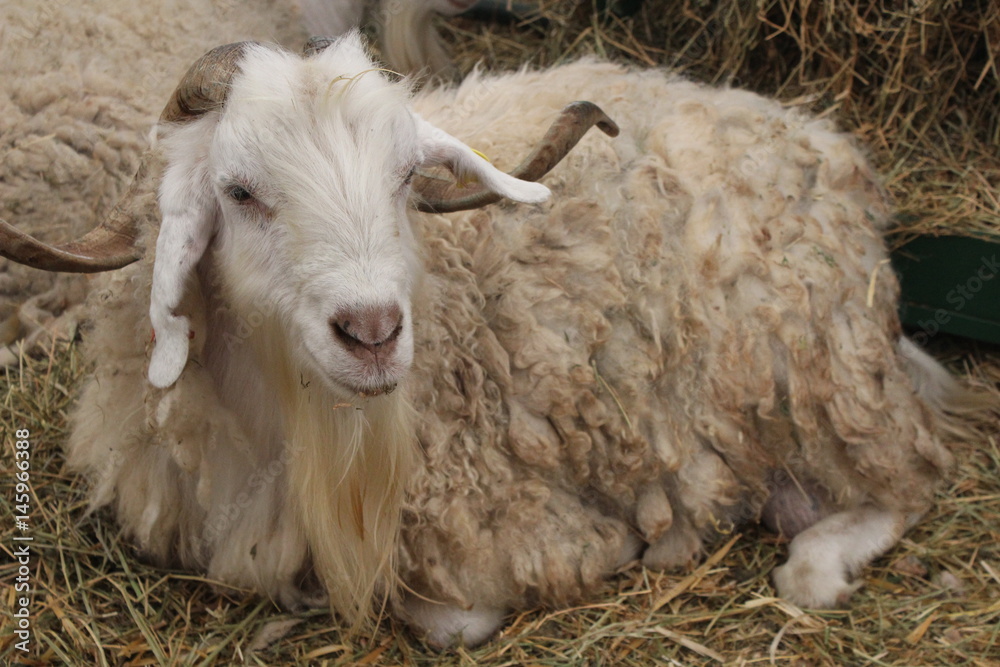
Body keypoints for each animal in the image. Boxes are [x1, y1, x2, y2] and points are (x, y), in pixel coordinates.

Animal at [0, 32, 978, 649]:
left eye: (406, 179)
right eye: (238, 192)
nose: (373, 332)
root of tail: (819, 136)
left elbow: (449, 619)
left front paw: (622, 548)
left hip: (819, 371)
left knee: (911, 480)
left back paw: (813, 557)